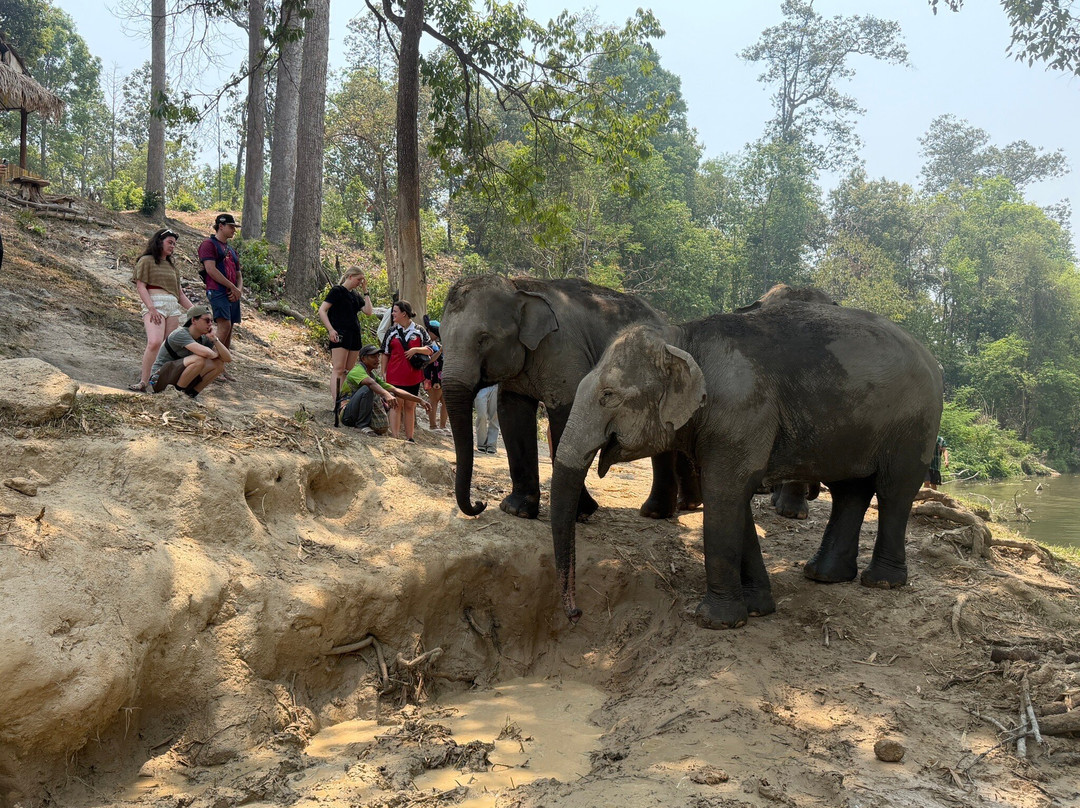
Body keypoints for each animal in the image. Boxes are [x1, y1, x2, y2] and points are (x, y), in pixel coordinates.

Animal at [440, 274, 701, 520]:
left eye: (483, 338)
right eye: (440, 336)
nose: (480, 503)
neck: (519, 287)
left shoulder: (564, 352)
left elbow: (565, 416)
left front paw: (582, 513)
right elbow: (513, 414)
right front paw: (517, 510)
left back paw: (658, 511)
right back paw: (672, 508)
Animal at [549, 298, 944, 630]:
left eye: (608, 395)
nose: (576, 613)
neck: (681, 336)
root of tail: (932, 359)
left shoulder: (740, 413)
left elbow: (725, 493)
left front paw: (717, 621)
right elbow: (734, 498)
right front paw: (757, 609)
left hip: (916, 424)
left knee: (894, 490)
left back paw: (881, 582)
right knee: (851, 490)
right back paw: (824, 575)